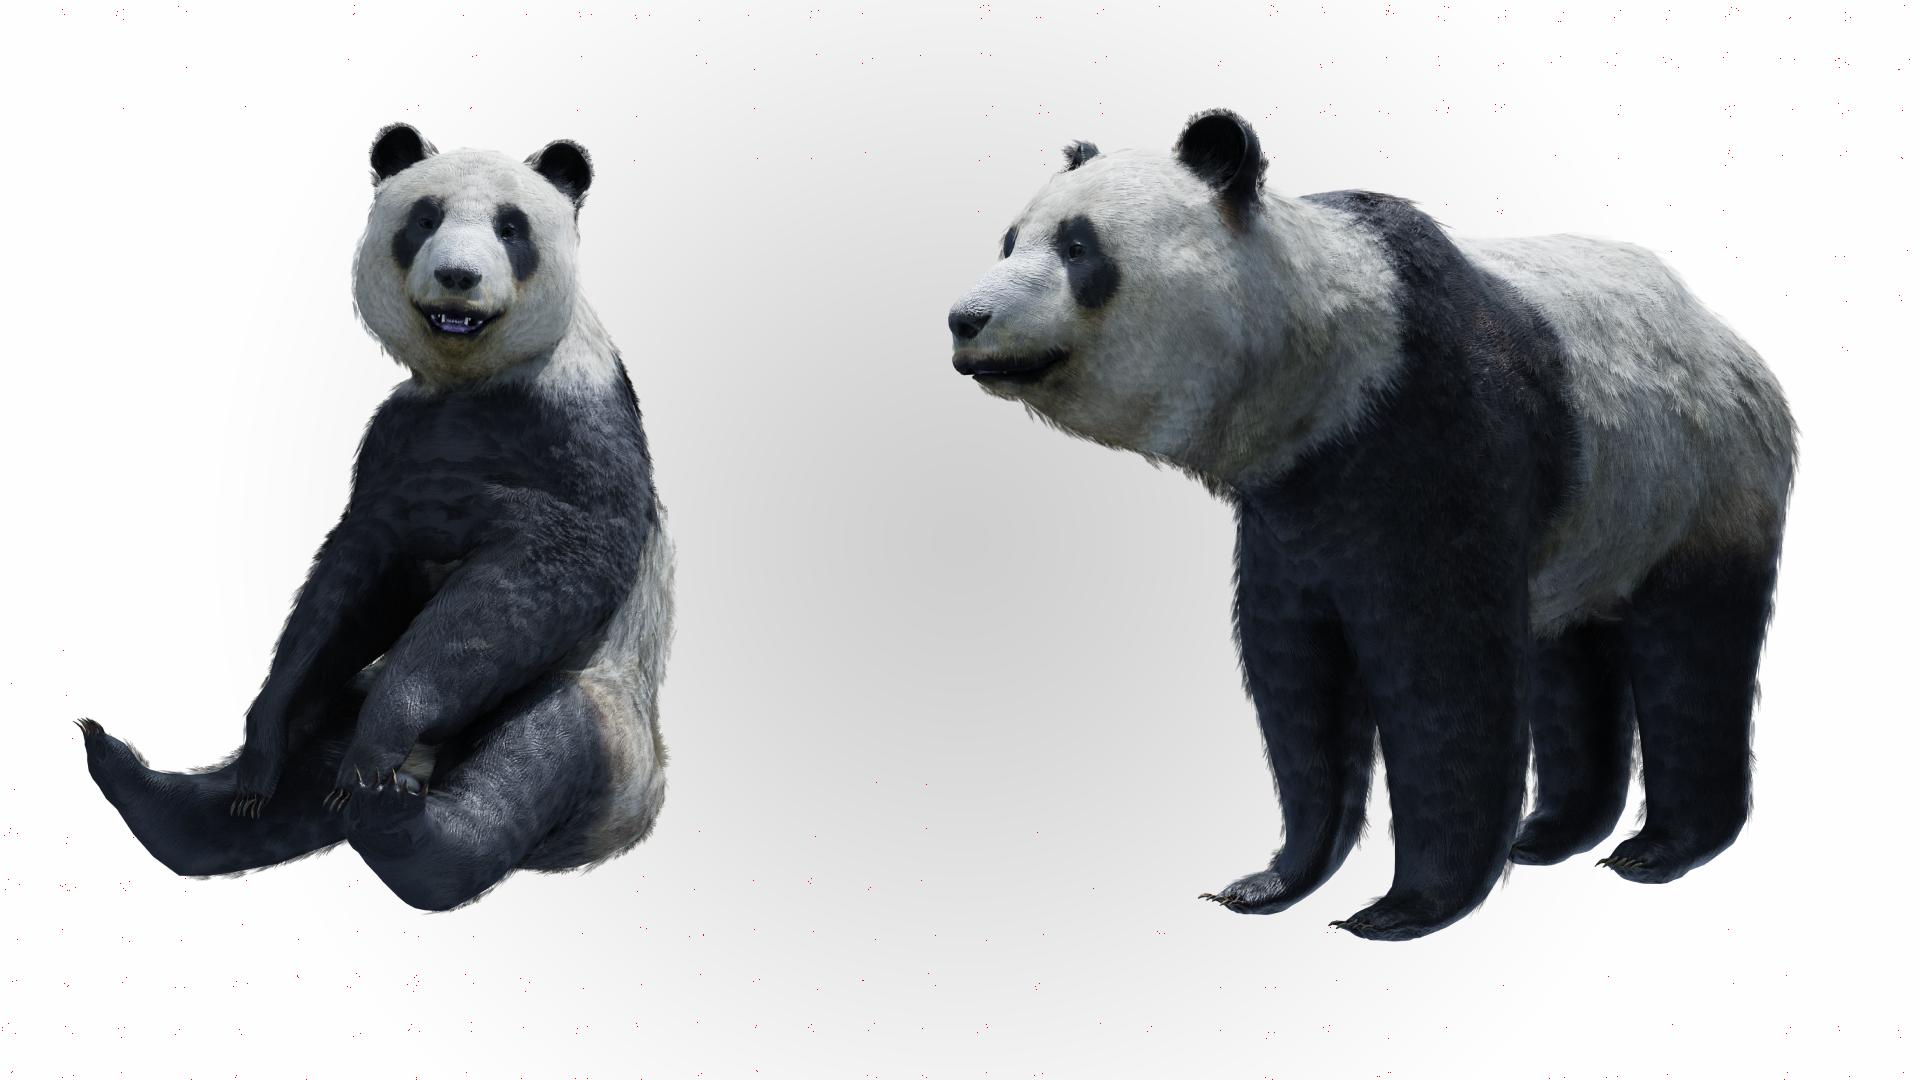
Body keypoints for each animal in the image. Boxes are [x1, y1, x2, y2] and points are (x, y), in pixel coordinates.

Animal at [79, 124, 673, 911]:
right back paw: (162, 785)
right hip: (344, 710)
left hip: (610, 720)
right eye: (424, 217)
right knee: (298, 774)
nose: (457, 276)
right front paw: (262, 738)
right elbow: (355, 581)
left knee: (532, 761)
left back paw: (398, 818)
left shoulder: (575, 425)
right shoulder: (397, 443)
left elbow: (544, 567)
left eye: (511, 227)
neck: (469, 375)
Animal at [947, 111, 1795, 941]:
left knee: (1691, 650)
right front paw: (1271, 882)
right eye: (1009, 240)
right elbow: (1295, 678)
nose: (966, 318)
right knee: (1570, 649)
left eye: (1079, 248)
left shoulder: (1436, 441)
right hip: (1597, 519)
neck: (1326, 375)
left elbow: (1445, 680)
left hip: (1699, 475)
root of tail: (1728, 338)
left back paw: (1661, 849)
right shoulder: (1290, 512)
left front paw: (1404, 906)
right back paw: (1551, 833)